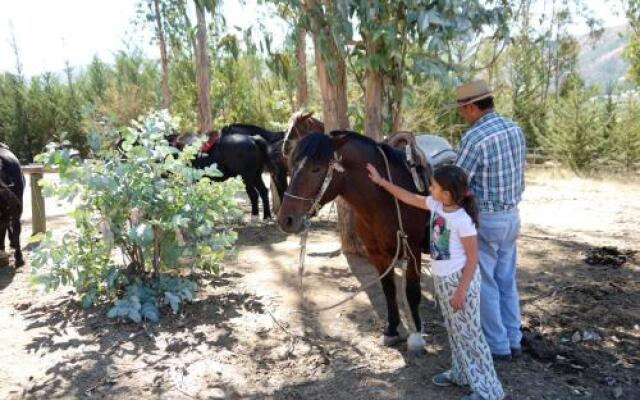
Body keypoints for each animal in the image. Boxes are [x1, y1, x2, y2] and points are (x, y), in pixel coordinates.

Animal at [276, 130, 430, 352]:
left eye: (316, 168)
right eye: (292, 167)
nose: (285, 220)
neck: (386, 200)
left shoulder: (413, 250)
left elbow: (412, 292)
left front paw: (416, 335)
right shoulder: (377, 254)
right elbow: (388, 289)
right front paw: (392, 330)